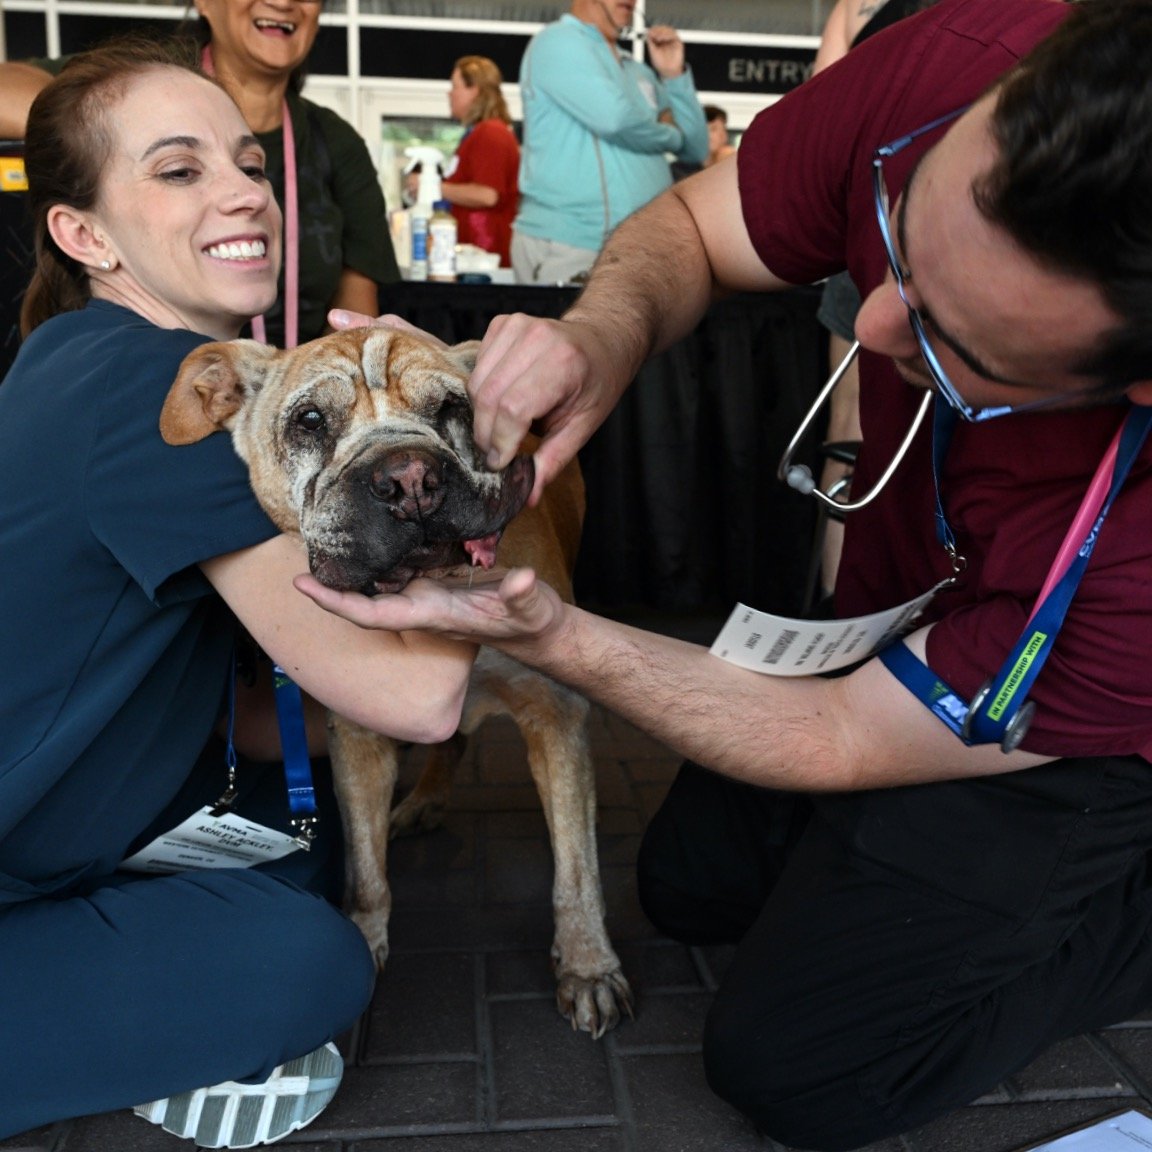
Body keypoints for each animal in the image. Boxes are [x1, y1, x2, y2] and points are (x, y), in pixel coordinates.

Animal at [157, 324, 631, 1036]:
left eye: (453, 409)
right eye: (310, 420)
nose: (410, 476)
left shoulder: (556, 715)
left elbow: (577, 869)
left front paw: (587, 965)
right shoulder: (359, 734)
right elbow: (365, 868)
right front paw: (365, 937)